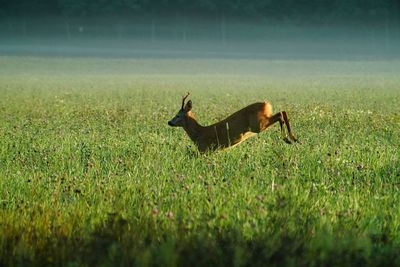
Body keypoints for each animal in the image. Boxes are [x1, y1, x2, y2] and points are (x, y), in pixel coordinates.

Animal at [167, 93, 298, 153]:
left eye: (178, 115)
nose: (169, 122)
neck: (199, 133)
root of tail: (267, 105)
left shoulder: (205, 149)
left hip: (258, 125)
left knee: (280, 114)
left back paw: (288, 138)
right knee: (283, 112)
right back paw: (294, 139)